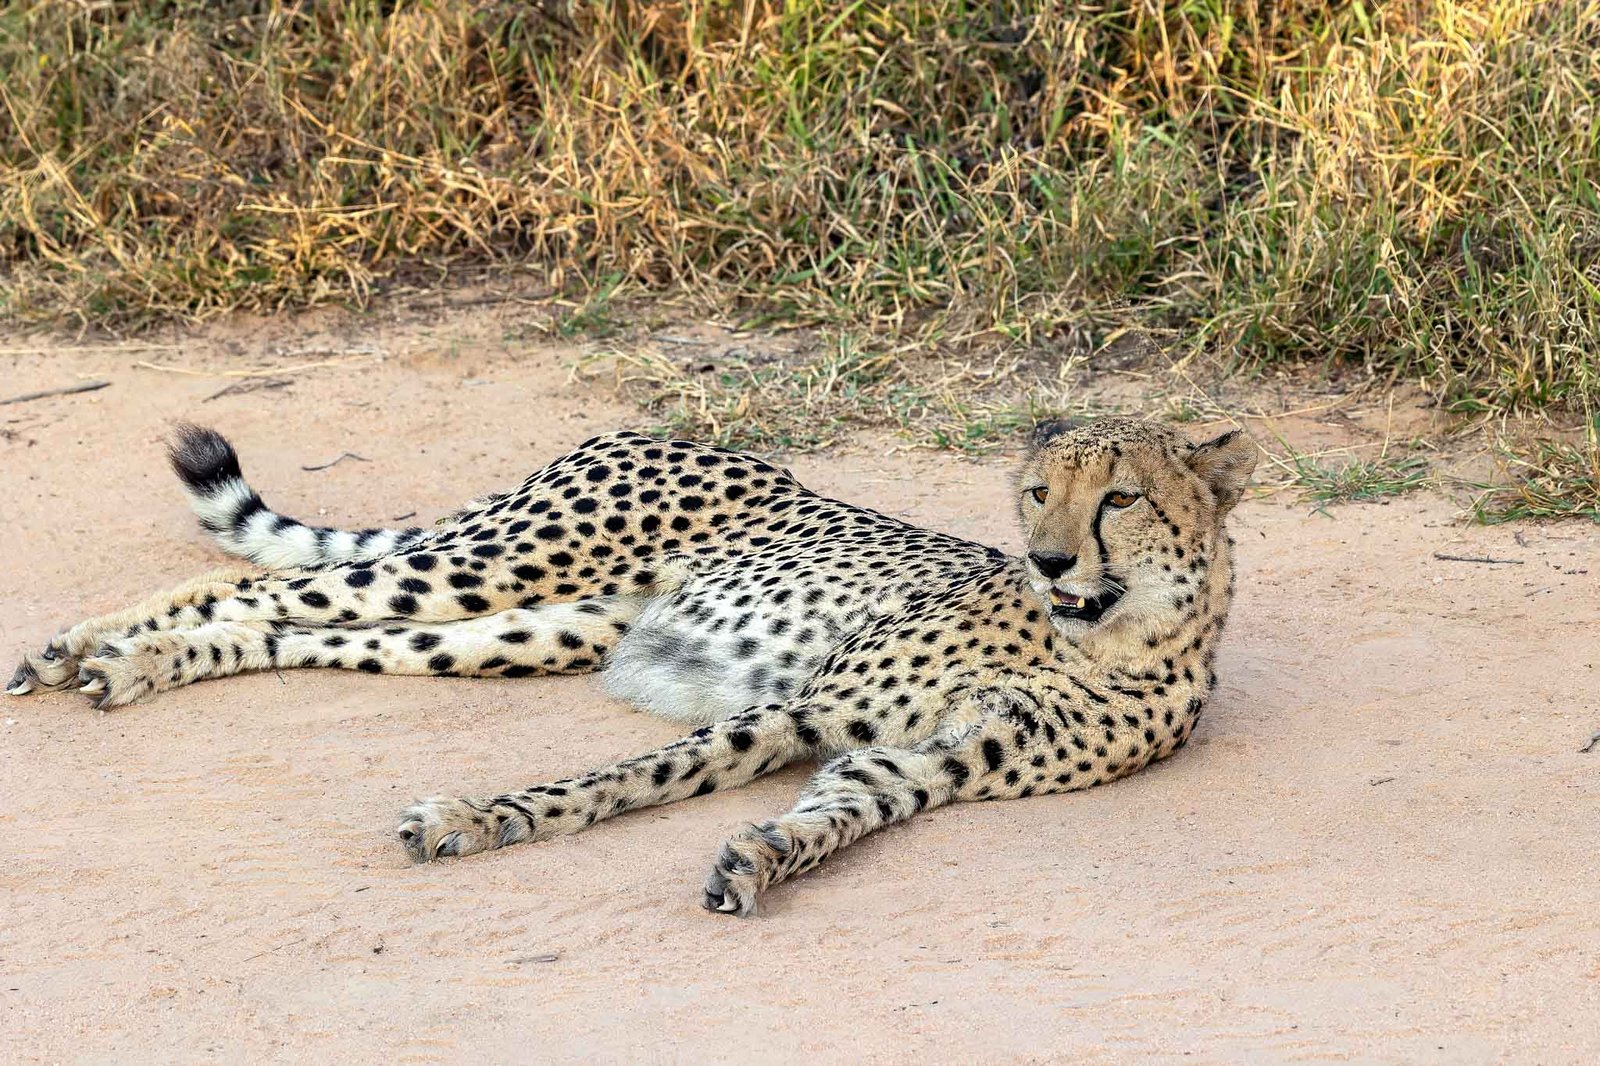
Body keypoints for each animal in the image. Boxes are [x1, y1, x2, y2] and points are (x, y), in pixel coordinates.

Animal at [7, 416, 1256, 915]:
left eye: (1119, 499)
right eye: (1038, 491)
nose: (1046, 558)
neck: (1106, 639)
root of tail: (664, 432)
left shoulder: (911, 763)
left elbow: (827, 816)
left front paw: (761, 856)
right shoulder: (801, 709)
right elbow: (626, 778)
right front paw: (481, 816)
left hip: (517, 629)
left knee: (299, 626)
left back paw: (122, 658)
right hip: (499, 561)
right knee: (271, 586)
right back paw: (95, 650)